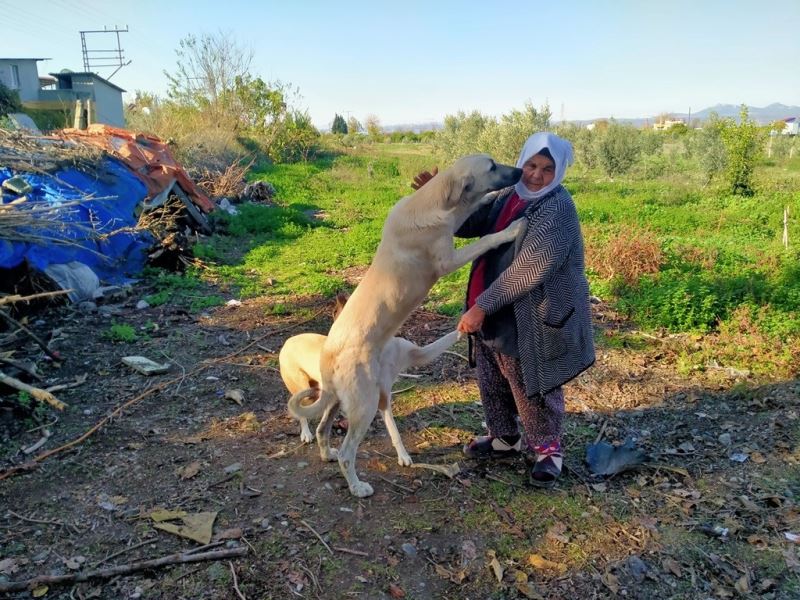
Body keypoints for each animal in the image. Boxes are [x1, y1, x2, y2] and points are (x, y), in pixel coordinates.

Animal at [288, 155, 524, 496]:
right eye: (491, 166)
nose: (520, 171)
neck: (433, 203)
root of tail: (329, 353)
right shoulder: (448, 260)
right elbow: (488, 239)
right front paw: (512, 228)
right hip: (365, 405)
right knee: (348, 451)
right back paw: (357, 486)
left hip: (338, 400)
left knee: (322, 429)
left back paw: (327, 454)